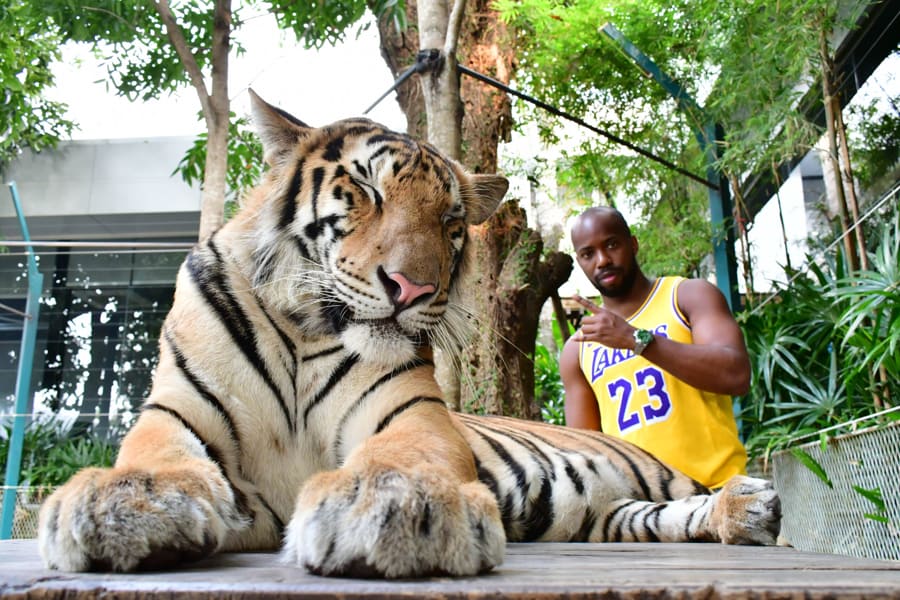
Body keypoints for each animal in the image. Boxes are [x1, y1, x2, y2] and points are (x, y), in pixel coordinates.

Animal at [37, 90, 781, 578]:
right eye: (366, 191)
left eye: (451, 222)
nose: (413, 290)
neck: (306, 327)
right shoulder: (180, 408)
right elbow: (156, 452)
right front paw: (125, 502)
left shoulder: (410, 409)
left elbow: (405, 457)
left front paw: (400, 508)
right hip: (603, 515)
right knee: (651, 520)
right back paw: (745, 514)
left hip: (658, 476)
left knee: (693, 498)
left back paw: (751, 504)